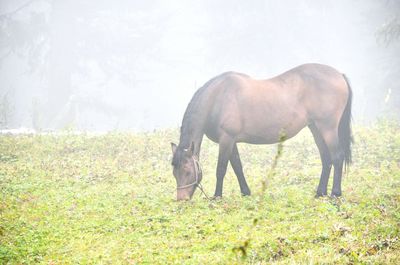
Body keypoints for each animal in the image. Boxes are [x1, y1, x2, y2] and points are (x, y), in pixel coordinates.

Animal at [170, 63, 352, 200]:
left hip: (327, 128)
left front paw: (217, 196)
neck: (217, 98)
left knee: (337, 157)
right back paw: (320, 193)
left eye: (187, 171)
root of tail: (339, 74)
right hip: (315, 128)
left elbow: (221, 168)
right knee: (326, 159)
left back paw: (335, 194)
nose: (181, 199)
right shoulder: (231, 140)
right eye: (174, 172)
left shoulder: (227, 139)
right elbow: (237, 166)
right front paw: (245, 192)